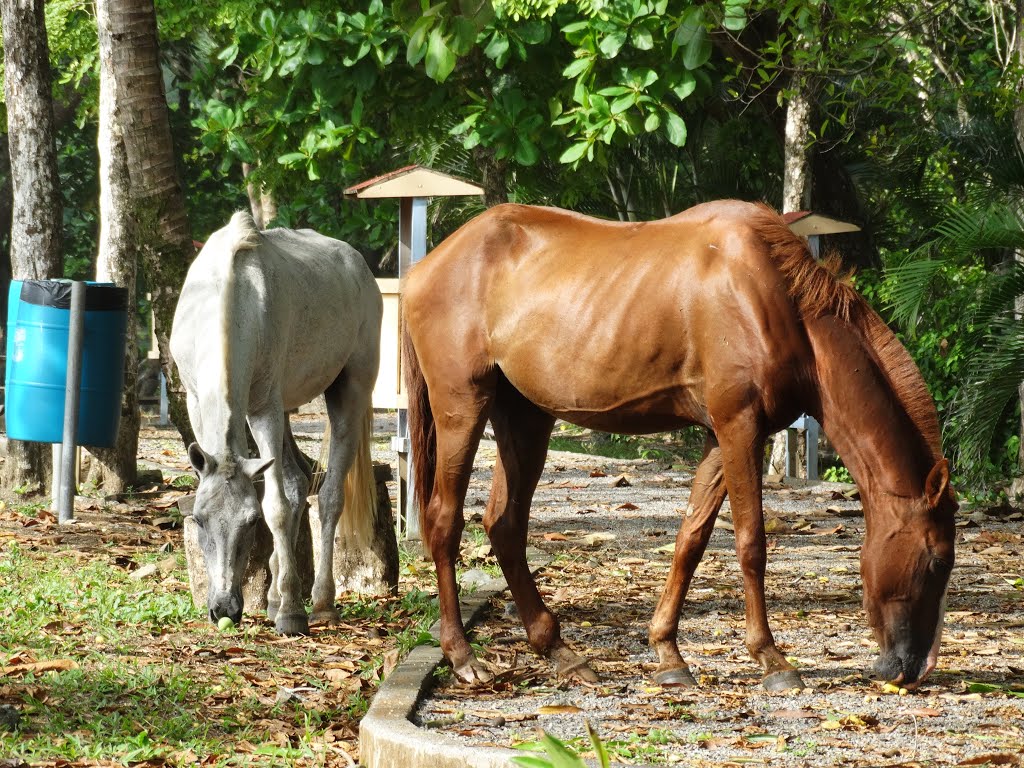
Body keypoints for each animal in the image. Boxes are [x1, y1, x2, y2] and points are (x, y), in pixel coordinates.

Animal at [169, 211, 382, 638]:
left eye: (250, 523)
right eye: (198, 519)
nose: (224, 608)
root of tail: (361, 268)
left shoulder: (264, 408)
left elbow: (276, 508)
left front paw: (292, 613)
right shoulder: (198, 404)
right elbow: (280, 497)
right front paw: (279, 600)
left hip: (348, 393)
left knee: (328, 496)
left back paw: (320, 603)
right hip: (285, 411)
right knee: (298, 484)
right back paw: (275, 597)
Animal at [401, 198, 958, 692]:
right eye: (936, 560)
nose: (914, 668)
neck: (778, 303)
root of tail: (420, 272)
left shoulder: (719, 436)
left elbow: (691, 540)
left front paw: (668, 653)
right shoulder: (740, 428)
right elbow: (750, 543)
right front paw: (771, 659)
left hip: (525, 418)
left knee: (505, 525)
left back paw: (561, 652)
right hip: (462, 408)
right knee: (445, 522)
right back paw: (464, 658)